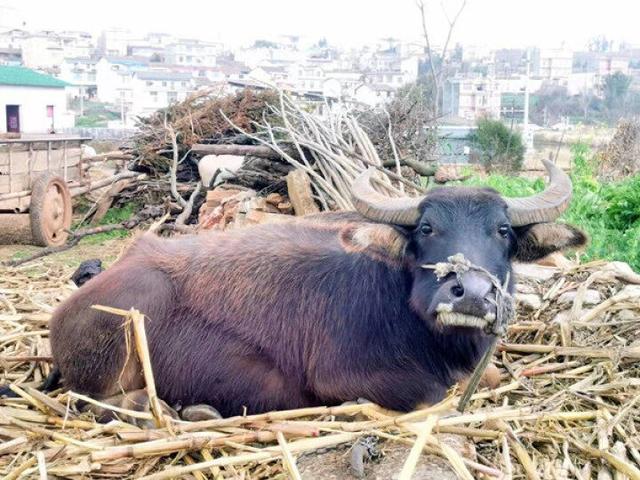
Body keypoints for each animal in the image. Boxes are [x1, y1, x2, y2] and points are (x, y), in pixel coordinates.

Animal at [47, 161, 584, 416]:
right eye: (427, 228)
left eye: (504, 231)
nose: (470, 293)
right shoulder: (346, 379)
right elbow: (432, 393)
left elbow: (489, 375)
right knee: (95, 401)